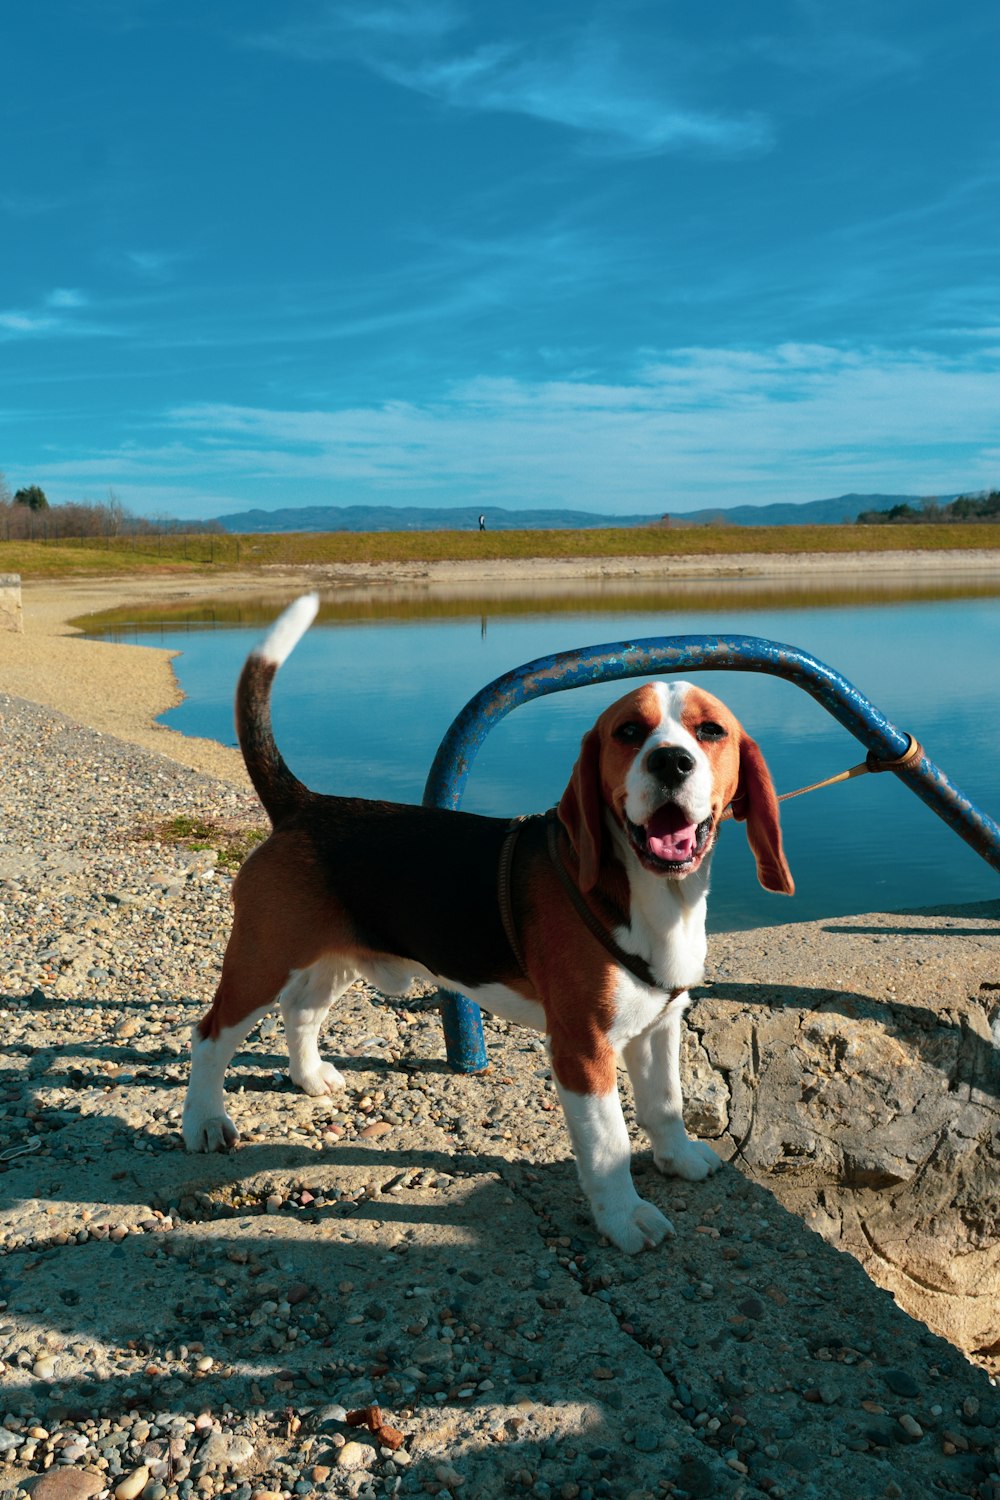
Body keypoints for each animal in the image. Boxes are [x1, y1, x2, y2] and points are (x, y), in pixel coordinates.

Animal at [183, 597, 791, 1254]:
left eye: (711, 732)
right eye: (629, 732)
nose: (671, 761)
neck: (650, 892)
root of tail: (305, 805)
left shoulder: (658, 1026)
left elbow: (665, 1105)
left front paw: (677, 1159)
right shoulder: (583, 1048)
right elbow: (609, 1142)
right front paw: (624, 1217)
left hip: (336, 959)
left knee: (300, 1011)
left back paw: (309, 1077)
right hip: (262, 960)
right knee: (210, 1035)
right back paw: (204, 1122)